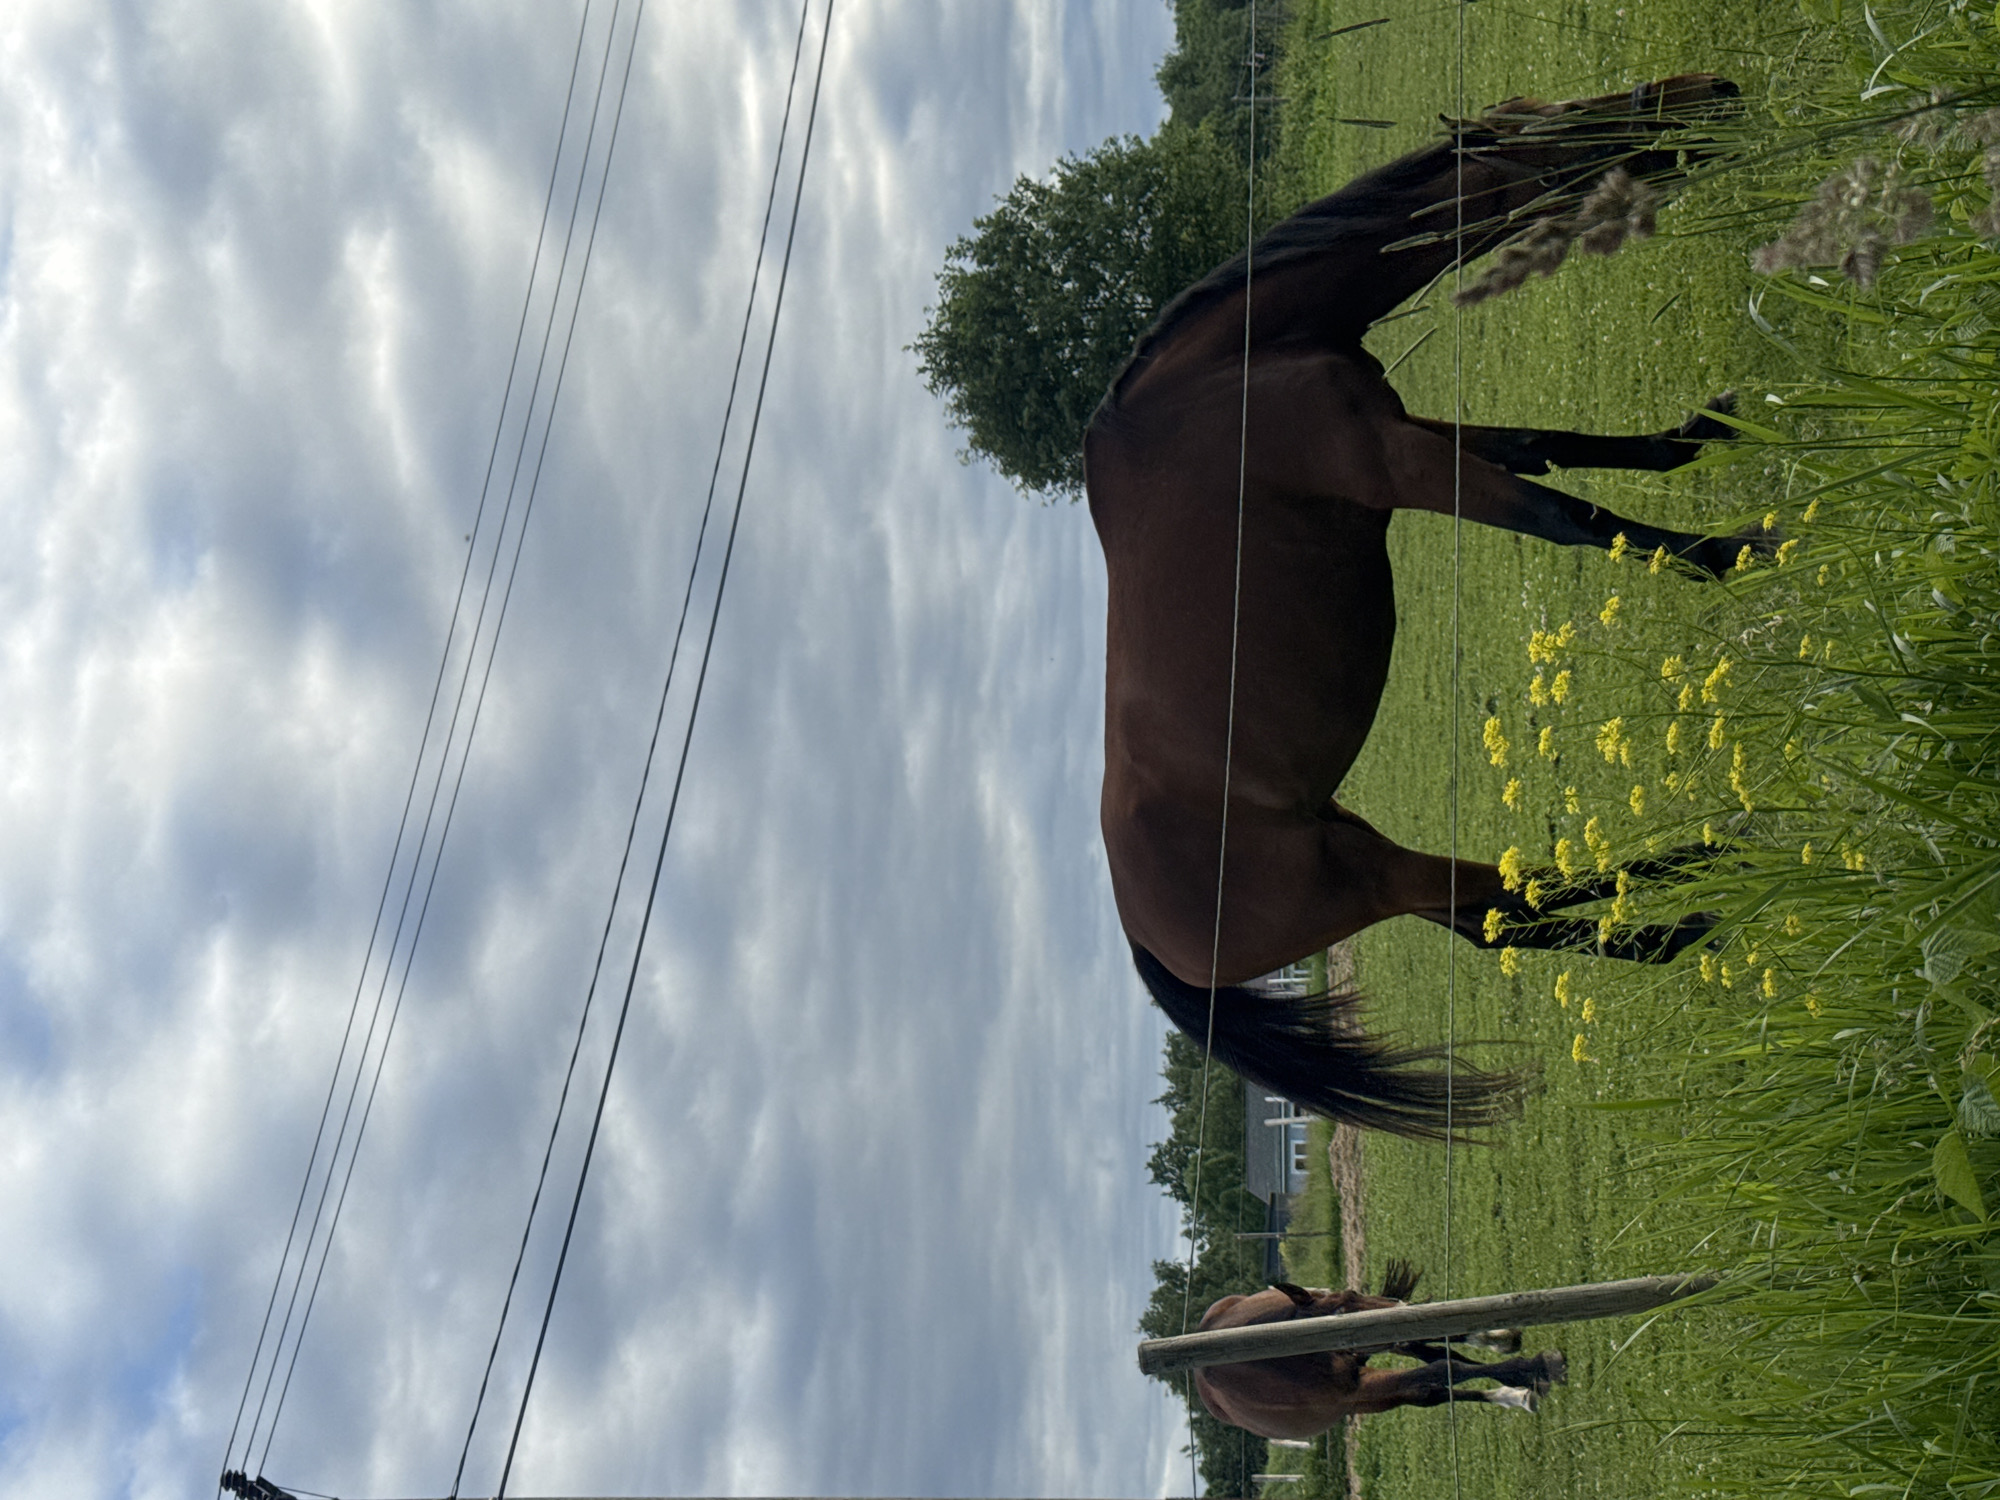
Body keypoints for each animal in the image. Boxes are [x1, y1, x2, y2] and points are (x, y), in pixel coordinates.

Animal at [1084, 74, 1752, 1139]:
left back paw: (1686, 907)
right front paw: (1729, 550)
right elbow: (1561, 515)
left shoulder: (1415, 427)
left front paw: (1706, 432)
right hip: (1367, 878)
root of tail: (1151, 942)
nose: (1705, 94)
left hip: (1358, 846)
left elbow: (1554, 448)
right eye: (1557, 138)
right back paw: (1707, 876)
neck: (1230, 375)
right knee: (1509, 902)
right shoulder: (1397, 462)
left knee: (1493, 918)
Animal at [1194, 1262, 1564, 1439]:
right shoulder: (1361, 1393)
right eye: (1338, 1312)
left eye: (1352, 1292)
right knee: (1432, 1383)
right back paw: (1511, 1392)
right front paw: (1535, 1369)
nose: (1399, 1308)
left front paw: (1526, 1367)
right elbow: (1442, 1373)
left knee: (1433, 1346)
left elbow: (1442, 1361)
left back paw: (1498, 1339)